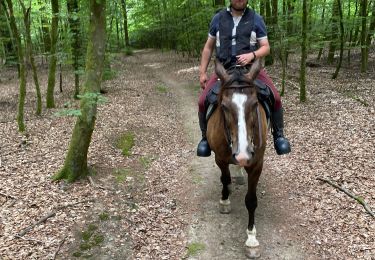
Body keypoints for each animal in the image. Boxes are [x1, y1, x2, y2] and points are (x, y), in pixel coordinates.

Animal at [207, 59, 268, 258]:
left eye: (255, 104)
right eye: (225, 107)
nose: (243, 155)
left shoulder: (257, 164)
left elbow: (251, 200)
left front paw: (251, 239)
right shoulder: (220, 158)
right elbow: (225, 179)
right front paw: (225, 200)